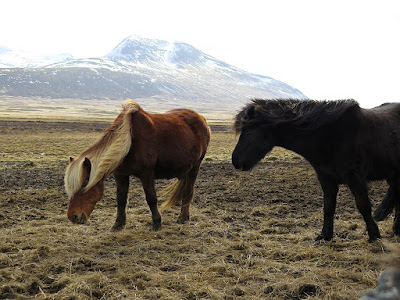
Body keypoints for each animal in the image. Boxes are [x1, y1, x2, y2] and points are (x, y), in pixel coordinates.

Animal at [63, 99, 209, 231]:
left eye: (84, 185)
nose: (73, 217)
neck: (129, 142)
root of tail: (202, 119)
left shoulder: (147, 174)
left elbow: (151, 198)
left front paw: (157, 223)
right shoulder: (121, 175)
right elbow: (121, 199)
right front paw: (118, 224)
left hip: (195, 167)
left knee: (188, 191)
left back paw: (183, 218)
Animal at [231, 99, 400, 243]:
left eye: (248, 129)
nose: (235, 161)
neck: (331, 136)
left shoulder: (355, 178)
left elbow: (363, 206)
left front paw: (374, 235)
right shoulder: (326, 179)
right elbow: (328, 207)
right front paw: (325, 236)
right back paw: (396, 230)